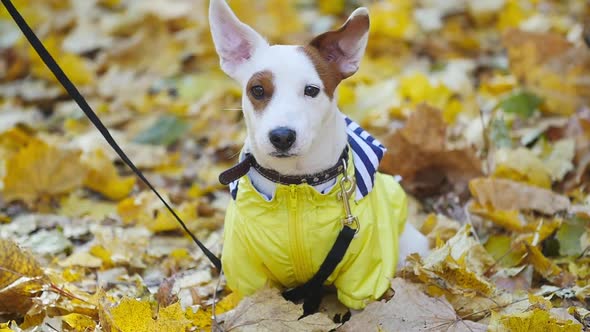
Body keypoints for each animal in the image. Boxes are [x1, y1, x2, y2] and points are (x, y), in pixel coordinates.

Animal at [212, 0, 430, 310]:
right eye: (257, 90)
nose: (282, 136)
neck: (295, 184)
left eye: (311, 90)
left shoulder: (364, 270)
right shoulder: (249, 272)